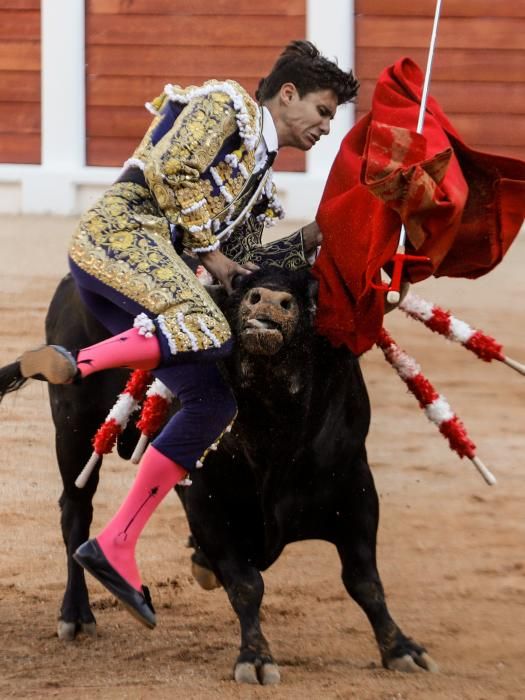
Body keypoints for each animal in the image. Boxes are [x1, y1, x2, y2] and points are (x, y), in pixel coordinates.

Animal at [8, 266, 436, 684]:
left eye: (315, 296)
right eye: (241, 285)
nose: (268, 299)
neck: (274, 429)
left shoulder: (355, 489)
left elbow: (365, 580)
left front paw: (401, 649)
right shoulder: (209, 504)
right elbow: (247, 584)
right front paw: (256, 658)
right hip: (74, 430)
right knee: (76, 514)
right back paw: (76, 615)